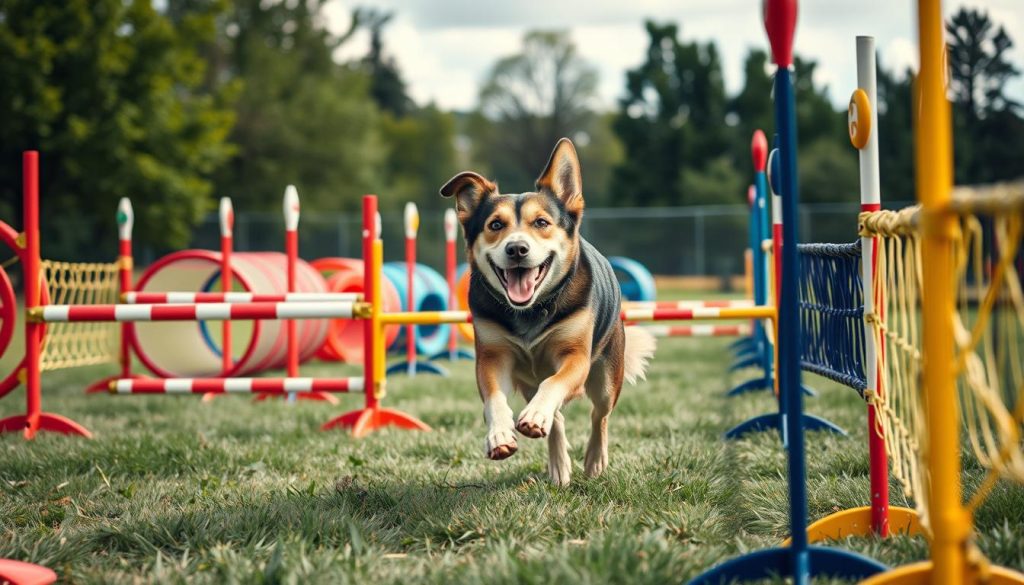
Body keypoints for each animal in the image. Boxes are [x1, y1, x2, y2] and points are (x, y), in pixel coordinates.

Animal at [440, 137, 655, 485]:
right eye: (495, 225)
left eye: (541, 222)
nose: (517, 248)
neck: (530, 310)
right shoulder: (491, 356)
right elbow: (494, 398)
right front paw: (500, 435)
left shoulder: (576, 357)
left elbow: (555, 383)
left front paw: (538, 418)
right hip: (527, 382)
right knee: (556, 415)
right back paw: (556, 460)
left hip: (608, 374)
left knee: (600, 414)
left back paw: (593, 459)